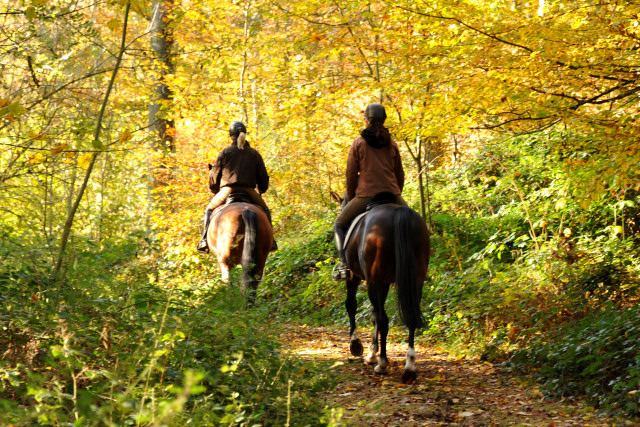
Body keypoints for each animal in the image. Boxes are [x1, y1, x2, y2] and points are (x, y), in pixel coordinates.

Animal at [336, 192, 430, 382]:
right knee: (410, 317)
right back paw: (409, 366)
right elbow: (373, 315)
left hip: (373, 280)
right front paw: (372, 353)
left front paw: (356, 345)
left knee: (382, 319)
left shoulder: (355, 277)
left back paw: (382, 364)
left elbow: (352, 306)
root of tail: (399, 213)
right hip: (415, 279)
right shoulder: (384, 282)